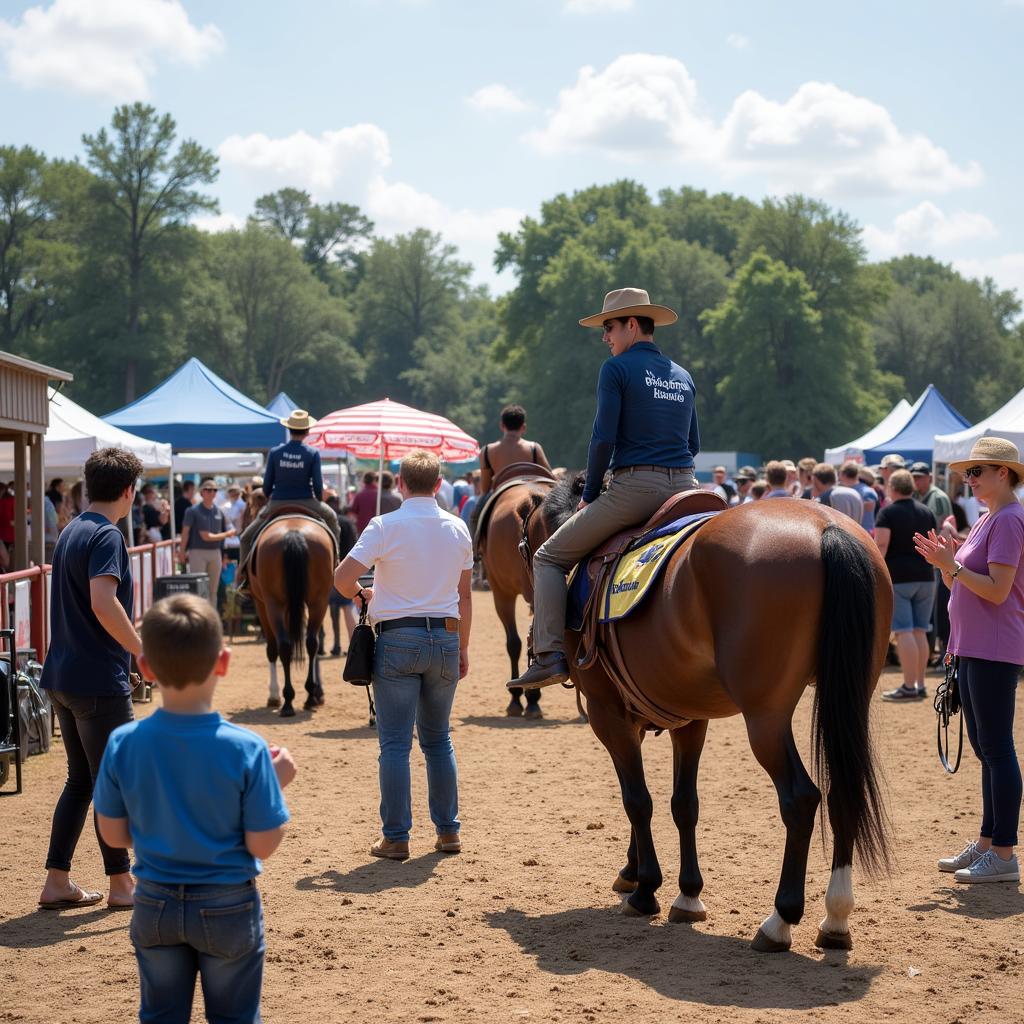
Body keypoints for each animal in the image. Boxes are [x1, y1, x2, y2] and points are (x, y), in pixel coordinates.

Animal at [249, 516, 333, 716]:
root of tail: (294, 533)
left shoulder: (261, 604)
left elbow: (272, 649)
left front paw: (273, 695)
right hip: (319, 601)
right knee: (311, 643)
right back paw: (310, 696)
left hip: (273, 604)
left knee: (283, 645)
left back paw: (287, 701)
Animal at [524, 477, 892, 950]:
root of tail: (826, 526)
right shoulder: (686, 719)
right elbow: (684, 804)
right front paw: (681, 892)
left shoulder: (607, 715)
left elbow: (637, 800)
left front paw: (645, 889)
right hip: (849, 698)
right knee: (843, 792)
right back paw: (836, 918)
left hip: (766, 717)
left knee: (801, 798)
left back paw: (779, 920)